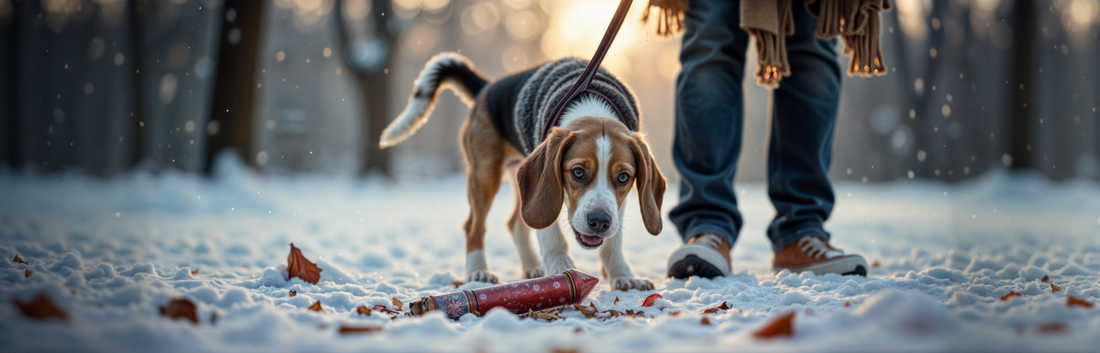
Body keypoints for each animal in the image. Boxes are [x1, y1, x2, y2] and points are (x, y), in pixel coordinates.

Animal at [382, 52, 664, 288]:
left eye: (623, 177)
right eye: (578, 172)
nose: (599, 222)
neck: (592, 106)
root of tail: (487, 87)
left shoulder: (616, 204)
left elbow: (612, 243)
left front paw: (622, 276)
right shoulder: (547, 188)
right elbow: (551, 235)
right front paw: (561, 270)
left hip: (521, 181)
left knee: (516, 224)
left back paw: (532, 269)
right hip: (485, 175)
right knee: (473, 226)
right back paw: (478, 272)